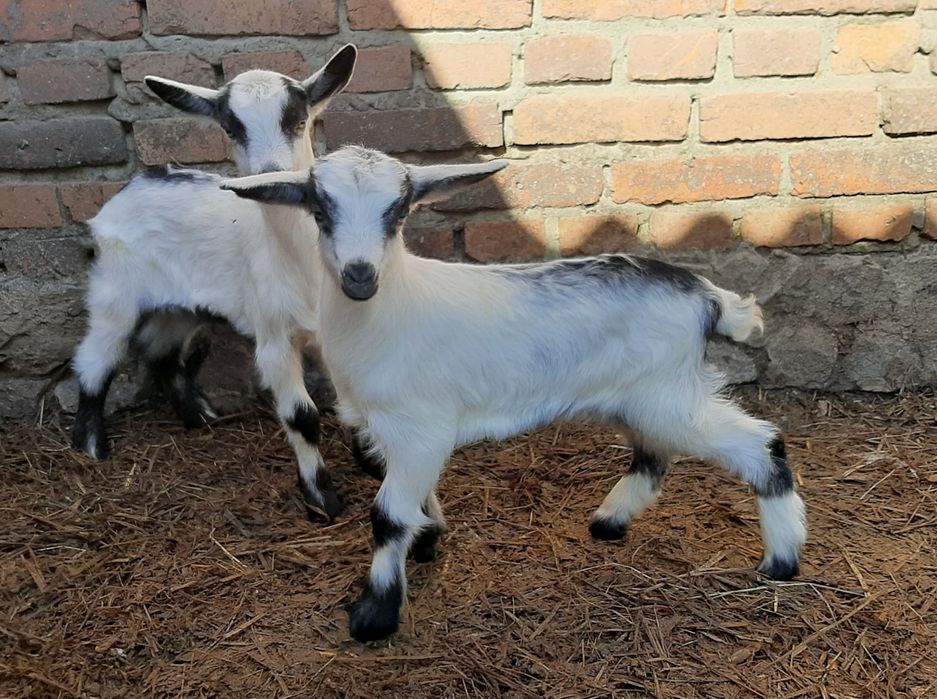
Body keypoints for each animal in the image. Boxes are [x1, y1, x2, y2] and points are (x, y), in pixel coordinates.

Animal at [70, 45, 358, 521]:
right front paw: (323, 501)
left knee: (162, 352)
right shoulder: (275, 339)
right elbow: (302, 417)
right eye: (230, 127)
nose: (268, 175)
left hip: (179, 306)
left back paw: (200, 416)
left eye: (298, 120)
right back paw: (91, 447)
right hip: (114, 291)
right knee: (96, 358)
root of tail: (134, 184)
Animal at [222, 146, 808, 642]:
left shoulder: (420, 427)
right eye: (321, 211)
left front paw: (374, 616)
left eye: (398, 212)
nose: (360, 276)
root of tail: (706, 296)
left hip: (668, 396)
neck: (392, 308)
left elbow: (388, 515)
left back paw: (780, 562)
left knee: (761, 443)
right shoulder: (397, 432)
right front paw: (428, 539)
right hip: (643, 396)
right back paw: (609, 523)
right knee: (653, 457)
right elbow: (416, 500)